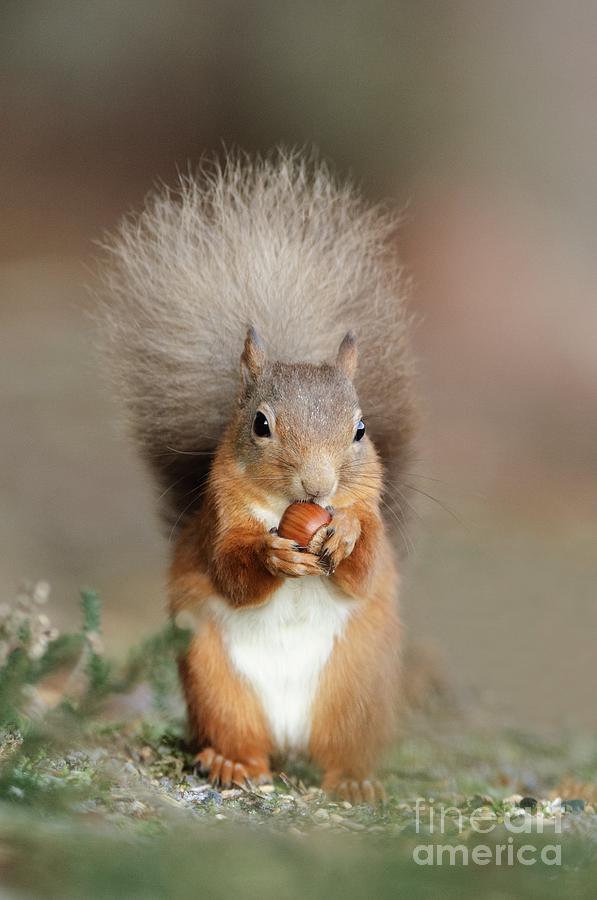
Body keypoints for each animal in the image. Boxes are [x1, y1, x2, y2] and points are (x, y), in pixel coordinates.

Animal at [101, 151, 414, 804]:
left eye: (361, 429)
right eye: (261, 424)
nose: (318, 488)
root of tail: (290, 738)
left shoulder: (372, 514)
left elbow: (366, 565)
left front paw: (345, 534)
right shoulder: (219, 519)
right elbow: (230, 568)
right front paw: (273, 557)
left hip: (361, 690)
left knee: (343, 750)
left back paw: (355, 780)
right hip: (216, 683)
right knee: (239, 736)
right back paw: (233, 764)